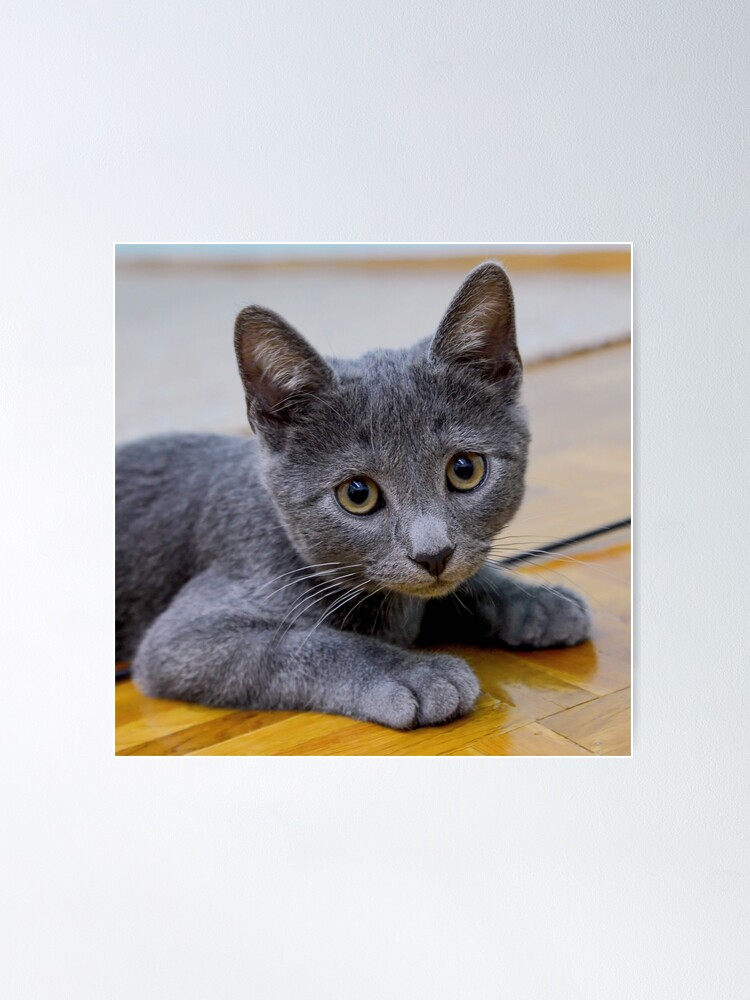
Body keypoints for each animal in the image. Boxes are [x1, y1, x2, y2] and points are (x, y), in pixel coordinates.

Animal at [117, 262, 592, 732]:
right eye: (357, 494)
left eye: (464, 470)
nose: (433, 554)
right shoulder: (184, 638)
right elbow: (302, 643)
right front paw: (416, 674)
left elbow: (467, 582)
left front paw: (537, 602)